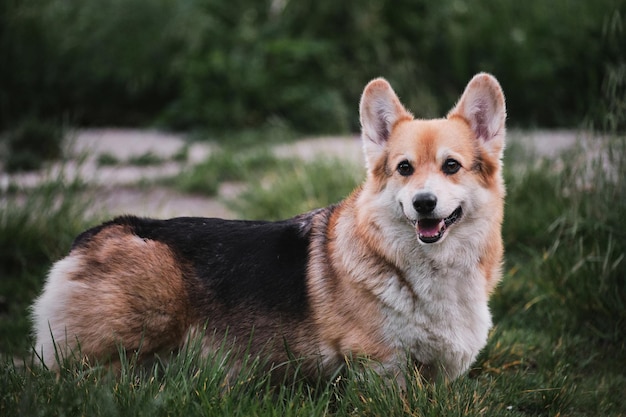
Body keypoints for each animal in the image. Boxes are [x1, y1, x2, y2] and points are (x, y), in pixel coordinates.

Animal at [31, 72, 504, 384]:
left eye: (451, 166)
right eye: (404, 168)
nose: (424, 204)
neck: (426, 268)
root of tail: (87, 240)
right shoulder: (379, 367)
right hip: (153, 289)